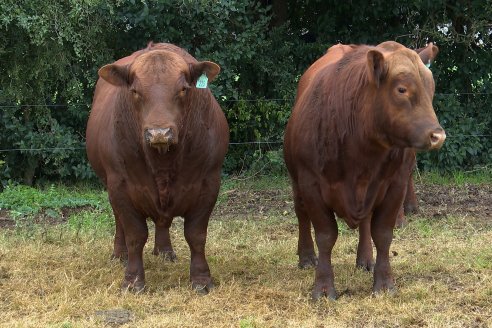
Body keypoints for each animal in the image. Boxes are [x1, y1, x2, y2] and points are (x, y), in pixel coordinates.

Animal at [86, 43, 229, 292]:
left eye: (183, 89)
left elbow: (196, 235)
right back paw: (119, 254)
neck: (163, 161)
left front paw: (201, 279)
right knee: (118, 221)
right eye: (135, 90)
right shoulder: (120, 186)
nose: (159, 133)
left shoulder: (209, 183)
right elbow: (135, 235)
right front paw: (133, 280)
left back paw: (164, 251)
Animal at [282, 41, 444, 300]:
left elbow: (383, 234)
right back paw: (306, 257)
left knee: (366, 223)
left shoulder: (394, 185)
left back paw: (365, 259)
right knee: (301, 213)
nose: (437, 135)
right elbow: (326, 236)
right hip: (297, 182)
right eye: (401, 89)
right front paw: (324, 288)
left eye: (432, 88)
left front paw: (385, 283)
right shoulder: (311, 184)